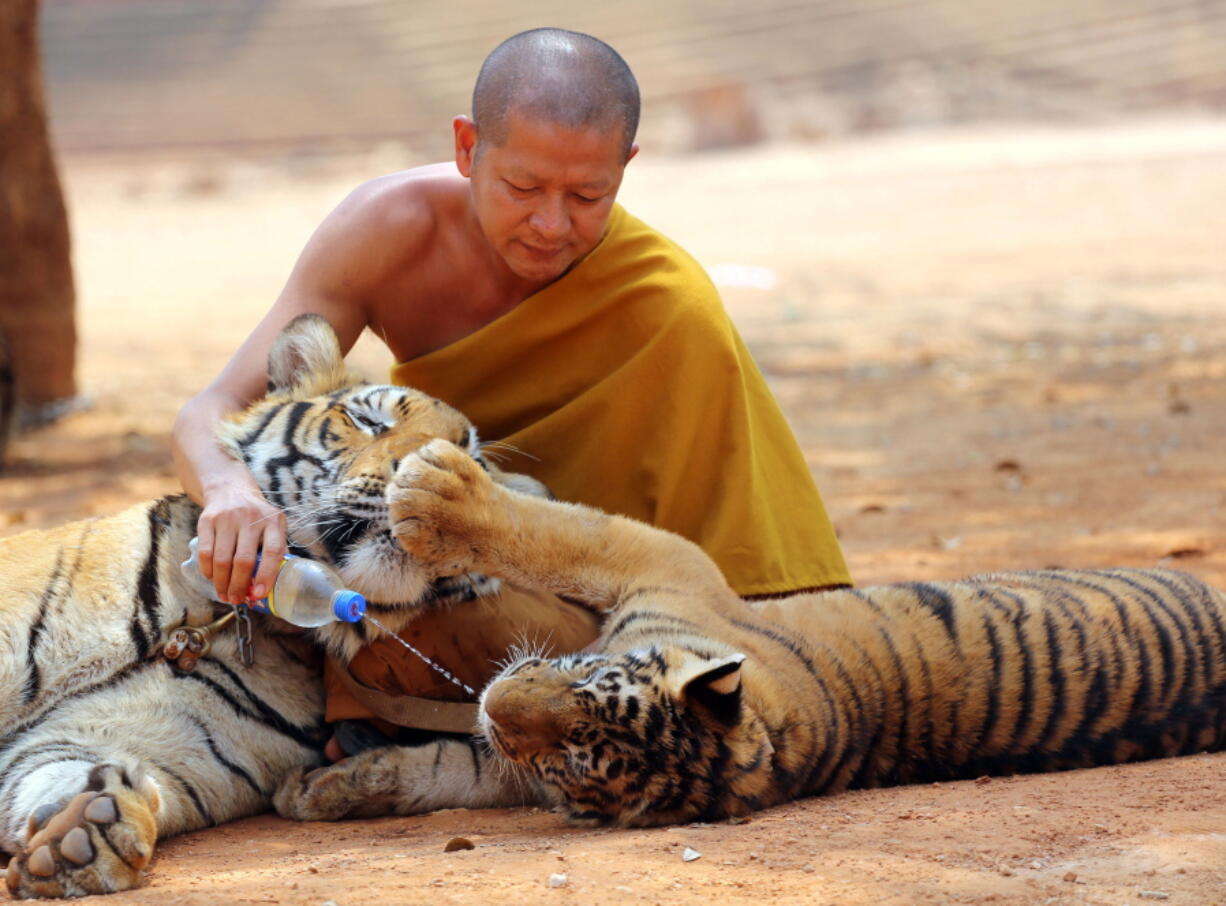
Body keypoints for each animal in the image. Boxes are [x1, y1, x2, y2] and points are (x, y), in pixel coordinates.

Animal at [0, 316, 546, 897]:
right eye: (367, 420)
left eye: (472, 463)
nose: (421, 476)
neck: (217, 620)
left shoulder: (141, 740)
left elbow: (59, 769)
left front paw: (82, 832)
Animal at [273, 438, 1226, 828]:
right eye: (582, 688)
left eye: (572, 757)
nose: (499, 702)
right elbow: (435, 767)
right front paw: (321, 792)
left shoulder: (658, 559)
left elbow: (555, 531)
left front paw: (436, 491)